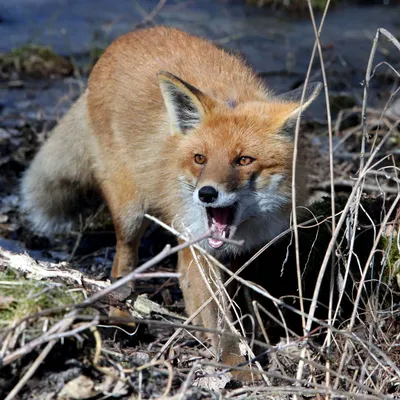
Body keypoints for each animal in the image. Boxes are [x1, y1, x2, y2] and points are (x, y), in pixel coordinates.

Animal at [21, 26, 322, 380]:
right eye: (200, 158)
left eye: (244, 160)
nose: (206, 194)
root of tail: (127, 38)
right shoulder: (194, 250)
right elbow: (219, 320)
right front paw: (240, 368)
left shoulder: (248, 250)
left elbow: (243, 302)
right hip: (130, 214)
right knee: (121, 265)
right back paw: (123, 318)